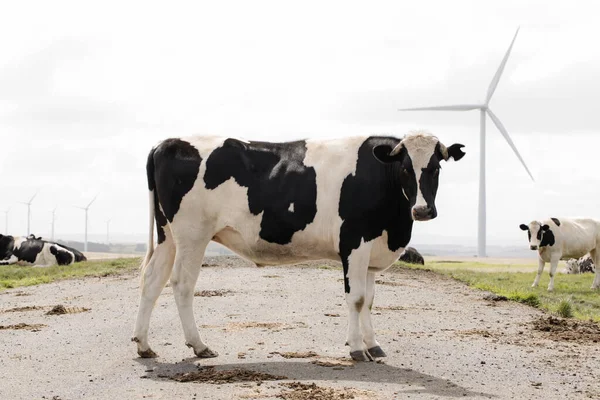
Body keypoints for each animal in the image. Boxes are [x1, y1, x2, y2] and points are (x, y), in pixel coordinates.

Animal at [134, 130, 466, 360]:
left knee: (152, 280)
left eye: (436, 167)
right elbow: (357, 299)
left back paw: (144, 345)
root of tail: (165, 142)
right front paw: (357, 349)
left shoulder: (372, 249)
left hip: (167, 235)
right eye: (406, 168)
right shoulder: (354, 243)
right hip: (192, 235)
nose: (422, 210)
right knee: (181, 283)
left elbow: (370, 300)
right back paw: (199, 345)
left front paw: (374, 346)